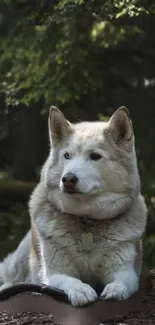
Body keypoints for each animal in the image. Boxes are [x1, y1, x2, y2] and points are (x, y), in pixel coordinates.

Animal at [0, 106, 147, 306]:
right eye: (67, 156)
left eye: (95, 156)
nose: (68, 179)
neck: (86, 219)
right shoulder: (54, 273)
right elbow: (71, 280)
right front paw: (82, 291)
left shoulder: (125, 270)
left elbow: (121, 281)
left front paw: (115, 290)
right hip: (22, 257)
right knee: (11, 277)